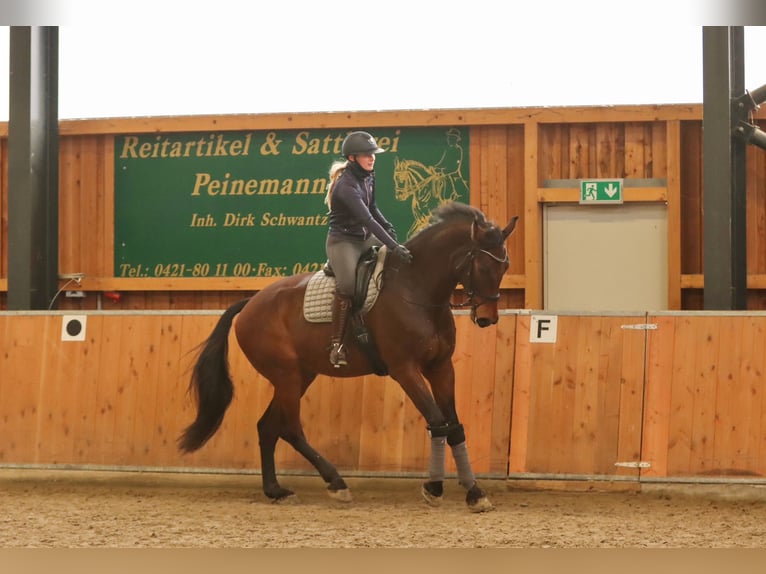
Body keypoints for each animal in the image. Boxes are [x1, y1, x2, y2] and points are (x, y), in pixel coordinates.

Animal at [177, 202, 520, 512]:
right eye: (483, 267)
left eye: (505, 268)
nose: (487, 318)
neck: (416, 289)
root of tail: (250, 303)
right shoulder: (405, 369)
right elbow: (438, 422)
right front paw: (434, 488)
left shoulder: (440, 367)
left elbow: (455, 426)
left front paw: (475, 493)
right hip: (287, 376)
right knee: (289, 428)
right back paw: (336, 483)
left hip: (300, 376)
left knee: (267, 427)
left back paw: (276, 490)